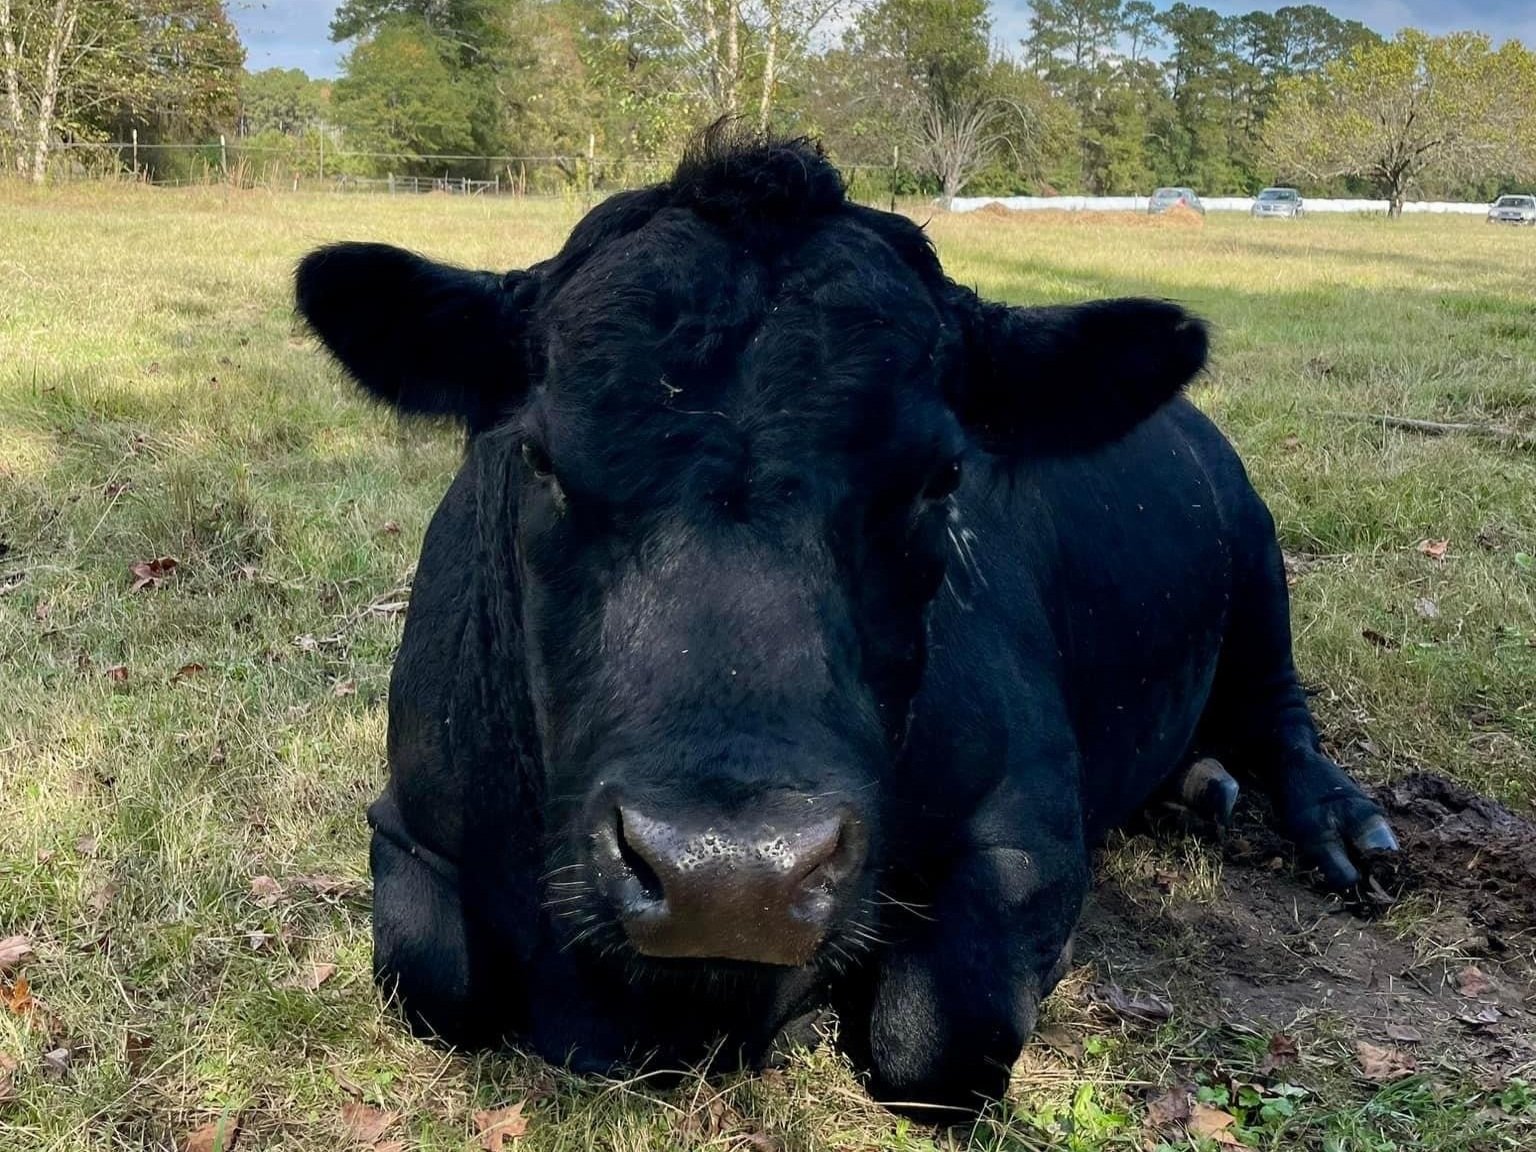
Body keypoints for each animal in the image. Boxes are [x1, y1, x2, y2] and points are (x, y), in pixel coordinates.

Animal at [294, 127, 1399, 1113]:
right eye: (538, 458)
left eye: (942, 476)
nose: (729, 876)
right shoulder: (411, 819)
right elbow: (433, 980)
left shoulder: (1030, 831)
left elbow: (937, 1037)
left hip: (1258, 564)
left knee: (1281, 716)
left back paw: (1342, 823)